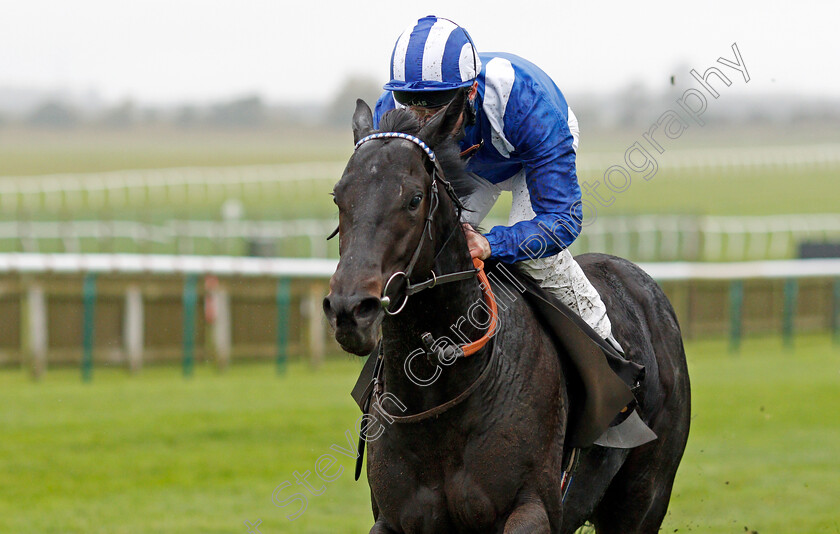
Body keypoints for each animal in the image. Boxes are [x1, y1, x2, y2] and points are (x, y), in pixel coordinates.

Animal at [322, 90, 688, 532]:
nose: (350, 309)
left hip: (645, 494)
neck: (439, 396)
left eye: (413, 199)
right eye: (339, 197)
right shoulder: (393, 518)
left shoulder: (535, 506)